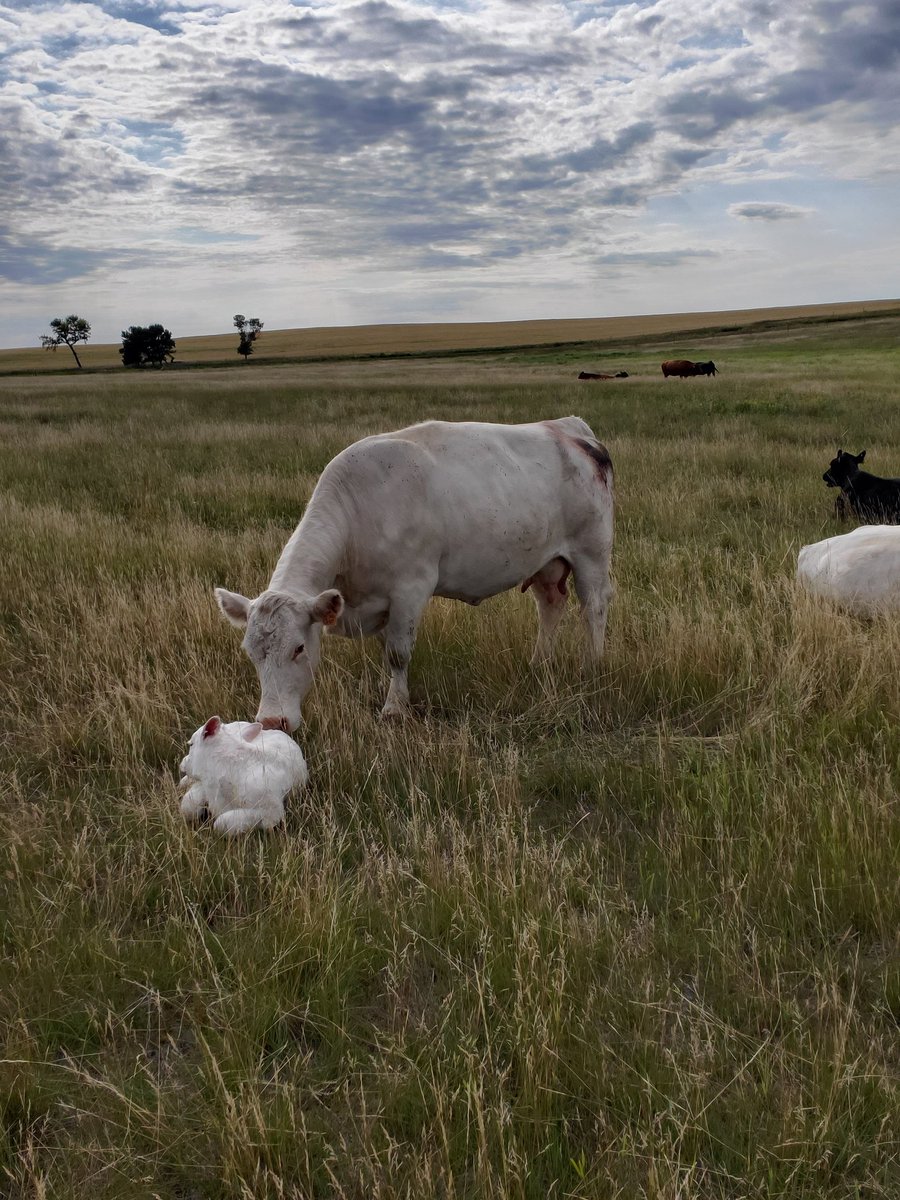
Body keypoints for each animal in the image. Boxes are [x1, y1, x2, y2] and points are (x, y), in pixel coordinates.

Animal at [215, 417, 614, 728]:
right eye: (250, 652)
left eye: (299, 648)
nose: (271, 721)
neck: (360, 509)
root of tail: (570, 428)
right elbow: (386, 648)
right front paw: (390, 691)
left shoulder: (411, 588)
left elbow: (398, 653)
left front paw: (394, 708)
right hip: (547, 561)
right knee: (550, 605)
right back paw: (539, 663)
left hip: (591, 553)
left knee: (593, 607)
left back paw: (591, 666)